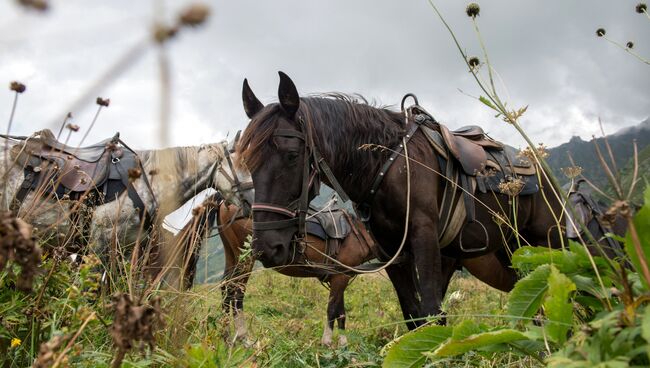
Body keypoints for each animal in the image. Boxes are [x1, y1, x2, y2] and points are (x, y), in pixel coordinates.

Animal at [237, 71, 568, 328]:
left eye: (292, 156)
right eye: (248, 163)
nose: (266, 248)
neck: (388, 165)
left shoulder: (424, 239)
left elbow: (432, 312)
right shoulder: (390, 252)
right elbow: (414, 316)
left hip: (548, 241)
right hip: (509, 248)